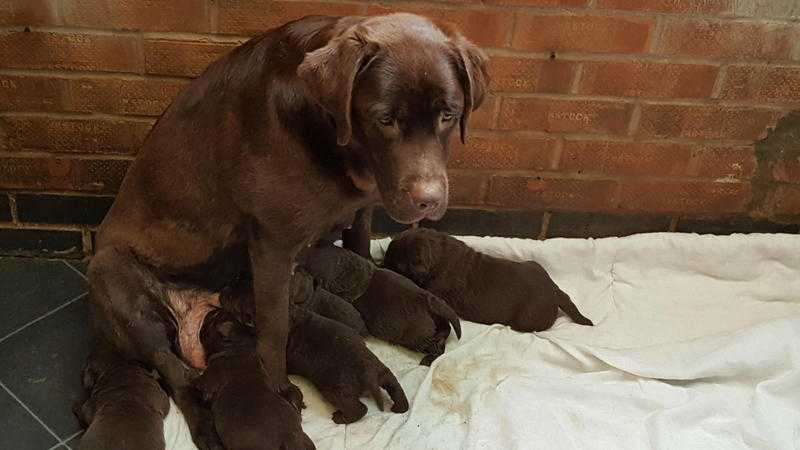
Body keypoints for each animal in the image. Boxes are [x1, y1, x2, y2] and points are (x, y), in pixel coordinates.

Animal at [197, 310, 316, 450]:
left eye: (210, 320)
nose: (210, 312)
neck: (239, 346)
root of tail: (290, 441)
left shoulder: (208, 380)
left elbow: (200, 384)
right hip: (306, 439)